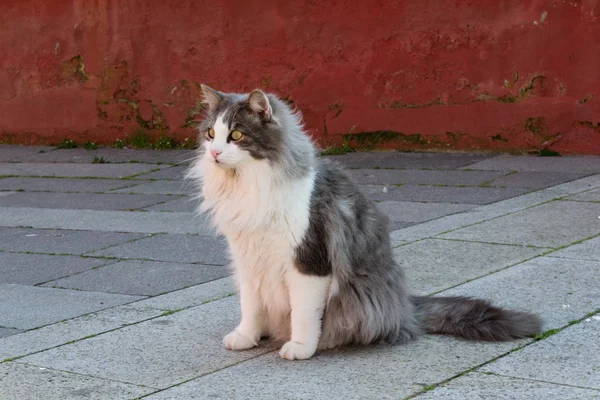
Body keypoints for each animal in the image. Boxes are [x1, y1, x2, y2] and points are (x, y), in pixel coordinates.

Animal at [189, 83, 544, 360]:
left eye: (236, 135)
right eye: (211, 134)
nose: (215, 153)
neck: (247, 186)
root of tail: (404, 305)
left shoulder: (309, 260)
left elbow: (304, 312)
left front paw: (301, 347)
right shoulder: (247, 260)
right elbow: (250, 306)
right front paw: (246, 337)